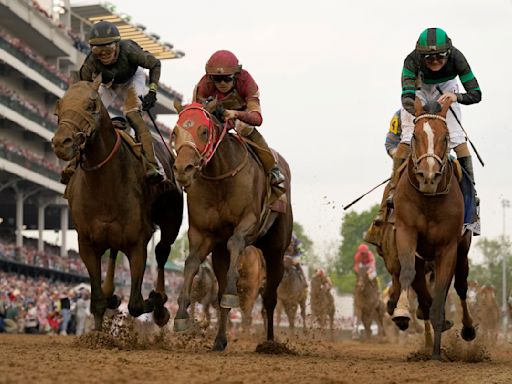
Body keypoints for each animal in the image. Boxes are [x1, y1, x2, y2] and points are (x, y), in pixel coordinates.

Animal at [51, 76, 183, 330]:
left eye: (91, 105)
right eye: (59, 105)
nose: (62, 142)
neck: (104, 184)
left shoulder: (138, 243)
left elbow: (136, 304)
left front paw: (156, 300)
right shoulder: (87, 244)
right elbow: (97, 301)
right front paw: (98, 328)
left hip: (172, 219)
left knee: (162, 252)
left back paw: (160, 304)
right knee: (113, 253)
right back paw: (111, 291)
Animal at [171, 102, 292, 352]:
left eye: (203, 131)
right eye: (175, 132)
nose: (183, 169)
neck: (220, 178)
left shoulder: (250, 222)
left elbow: (235, 241)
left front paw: (230, 292)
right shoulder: (202, 234)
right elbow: (191, 263)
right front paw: (181, 314)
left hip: (276, 250)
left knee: (270, 297)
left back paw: (269, 342)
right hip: (220, 253)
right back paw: (220, 339)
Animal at [388, 97, 476, 358]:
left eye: (445, 137)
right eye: (415, 136)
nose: (428, 176)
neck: (429, 199)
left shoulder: (448, 247)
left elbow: (443, 291)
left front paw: (437, 353)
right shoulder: (406, 232)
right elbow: (407, 272)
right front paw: (401, 312)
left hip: (462, 250)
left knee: (460, 286)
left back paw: (467, 329)